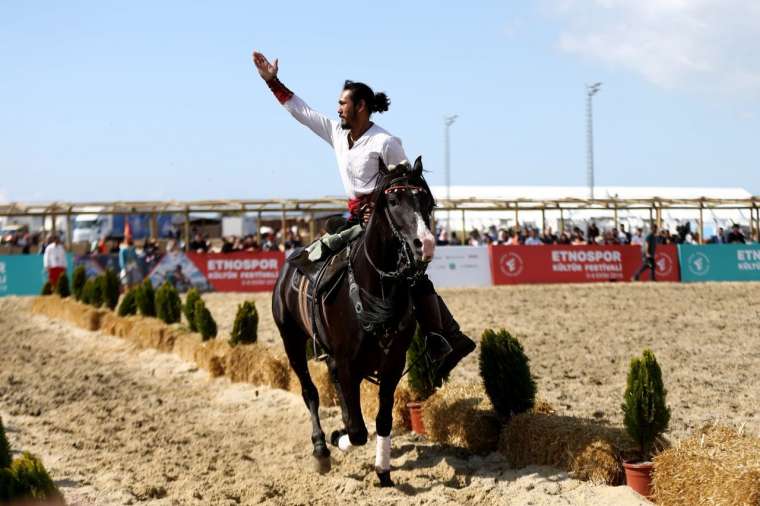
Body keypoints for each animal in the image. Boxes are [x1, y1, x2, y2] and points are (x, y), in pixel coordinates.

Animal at [272, 157, 434, 486]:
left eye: (427, 202)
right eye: (394, 201)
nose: (425, 244)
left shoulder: (392, 363)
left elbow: (382, 418)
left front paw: (383, 470)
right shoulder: (347, 362)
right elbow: (358, 430)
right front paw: (339, 437)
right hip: (291, 341)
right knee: (310, 392)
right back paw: (321, 448)